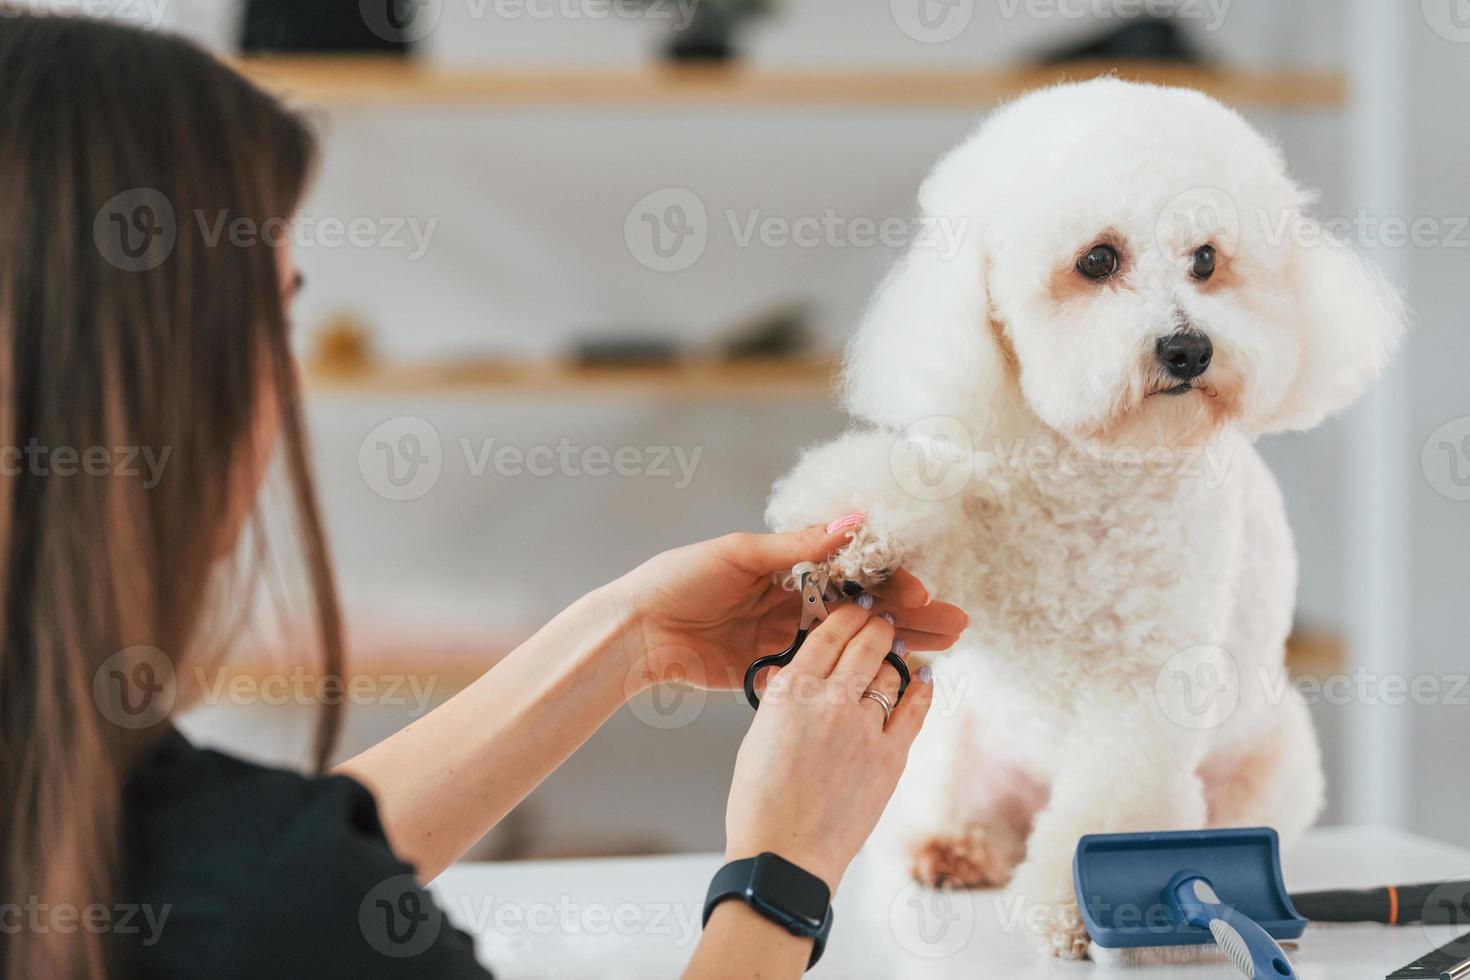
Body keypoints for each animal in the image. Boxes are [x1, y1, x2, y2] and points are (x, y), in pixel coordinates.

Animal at [764, 78, 1405, 957]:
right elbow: (923, 500)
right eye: (1098, 260)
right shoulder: (977, 538)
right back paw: (953, 847)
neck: (1094, 474)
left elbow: (1111, 808)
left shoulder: (1145, 691)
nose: (1188, 349)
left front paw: (1079, 909)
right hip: (958, 752)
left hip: (1273, 763)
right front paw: (853, 538)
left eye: (1207, 260)